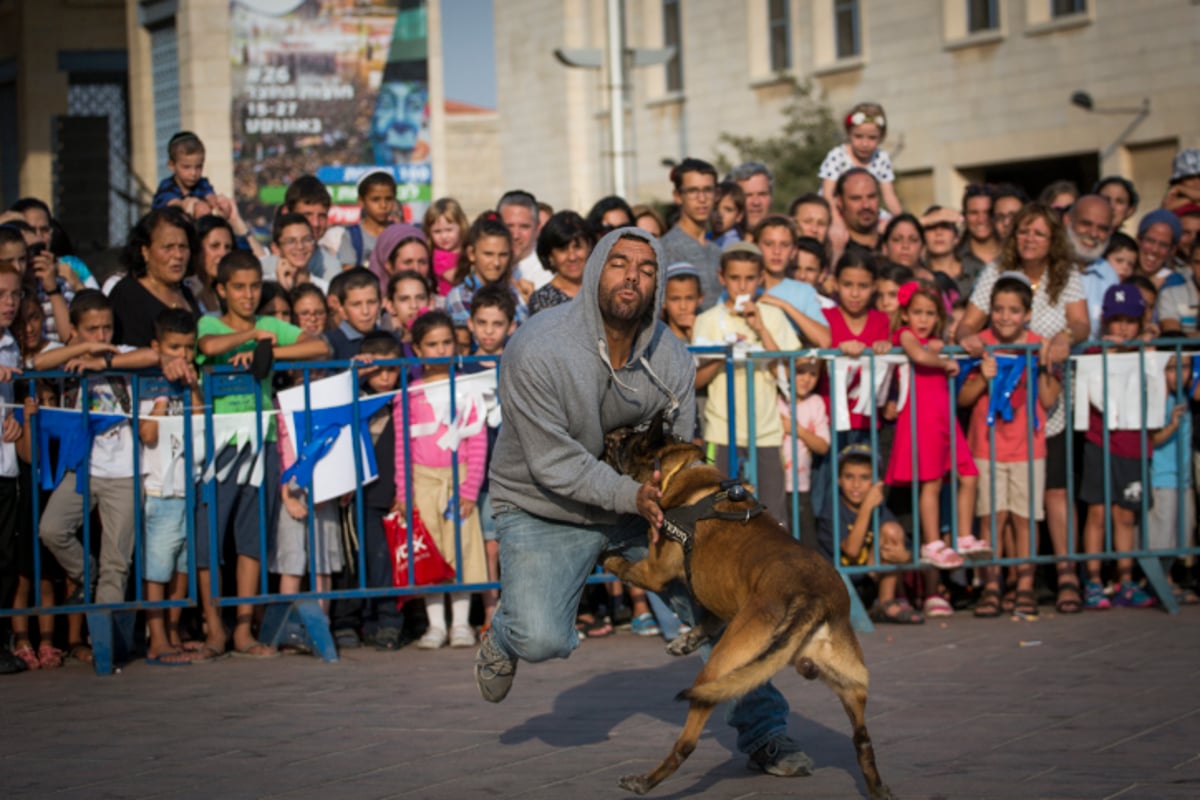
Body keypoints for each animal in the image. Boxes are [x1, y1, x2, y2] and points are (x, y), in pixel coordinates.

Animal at [600, 422, 892, 796]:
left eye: (625, 439)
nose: (610, 433)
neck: (680, 469)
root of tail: (812, 599)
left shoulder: (654, 572)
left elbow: (624, 566)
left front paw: (606, 557)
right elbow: (707, 620)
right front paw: (686, 640)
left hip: (718, 670)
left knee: (686, 743)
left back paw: (643, 781)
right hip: (851, 684)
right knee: (863, 741)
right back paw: (877, 788)